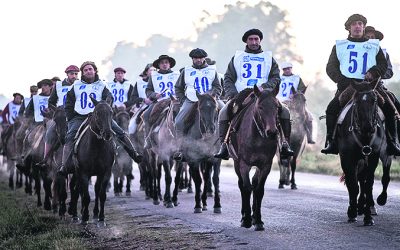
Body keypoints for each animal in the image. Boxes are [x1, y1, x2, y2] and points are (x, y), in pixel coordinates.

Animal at [68, 96, 115, 226]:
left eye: (111, 112)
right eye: (97, 113)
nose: (108, 134)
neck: (97, 146)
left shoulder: (105, 172)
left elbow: (101, 194)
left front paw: (101, 218)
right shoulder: (83, 173)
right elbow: (86, 196)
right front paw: (84, 217)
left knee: (94, 189)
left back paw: (94, 213)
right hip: (76, 172)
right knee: (76, 189)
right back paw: (75, 215)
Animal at [227, 85, 280, 230]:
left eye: (277, 106)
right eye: (260, 107)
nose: (272, 132)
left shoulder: (265, 165)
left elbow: (259, 190)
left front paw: (258, 221)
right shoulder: (244, 164)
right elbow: (246, 188)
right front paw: (246, 220)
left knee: (255, 183)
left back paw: (254, 217)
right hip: (236, 163)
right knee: (242, 185)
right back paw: (244, 216)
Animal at [338, 80, 384, 227]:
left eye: (374, 99)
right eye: (357, 101)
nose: (367, 127)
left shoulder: (373, 159)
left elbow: (368, 186)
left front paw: (368, 217)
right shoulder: (347, 159)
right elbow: (353, 185)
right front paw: (352, 213)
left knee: (363, 182)